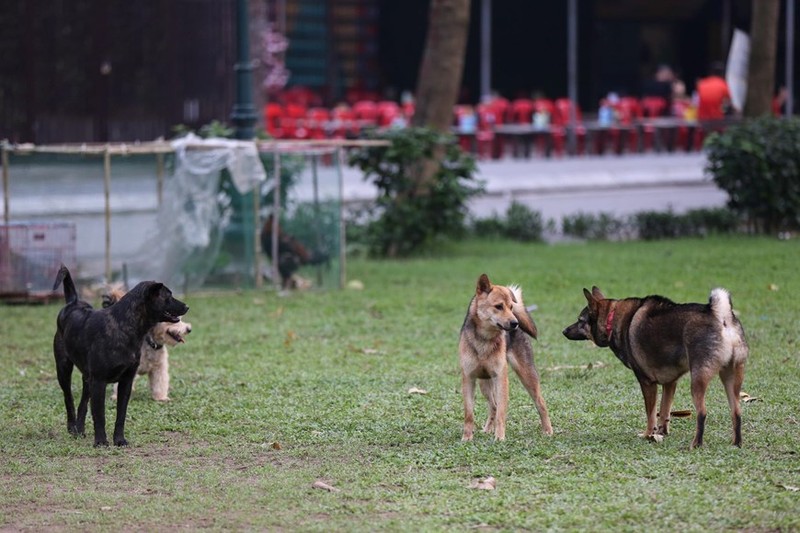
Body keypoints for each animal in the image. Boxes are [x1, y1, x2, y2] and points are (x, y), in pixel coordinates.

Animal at [54, 264, 190, 444]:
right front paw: (101, 442)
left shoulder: (126, 380)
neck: (124, 326)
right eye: (168, 296)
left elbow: (121, 415)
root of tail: (73, 302)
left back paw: (80, 430)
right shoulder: (99, 381)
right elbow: (100, 415)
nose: (187, 306)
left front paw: (119, 440)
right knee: (68, 398)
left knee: (82, 403)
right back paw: (72, 427)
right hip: (64, 369)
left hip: (87, 379)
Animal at [460, 272, 552, 438]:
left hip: (527, 375)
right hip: (484, 383)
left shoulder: (501, 377)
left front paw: (499, 438)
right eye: (498, 306)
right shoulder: (469, 378)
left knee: (541, 403)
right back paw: (487, 429)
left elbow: (501, 414)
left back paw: (548, 430)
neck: (485, 339)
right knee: (493, 406)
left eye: (510, 307)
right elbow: (469, 414)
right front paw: (467, 438)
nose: (515, 323)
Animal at [564, 286, 748, 448]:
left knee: (702, 413)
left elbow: (651, 414)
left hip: (698, 381)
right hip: (731, 379)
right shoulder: (670, 383)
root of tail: (721, 316)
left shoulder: (647, 383)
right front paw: (661, 433)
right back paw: (736, 444)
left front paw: (648, 435)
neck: (612, 317)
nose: (564, 331)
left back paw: (696, 444)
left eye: (580, 320)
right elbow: (664, 411)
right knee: (737, 412)